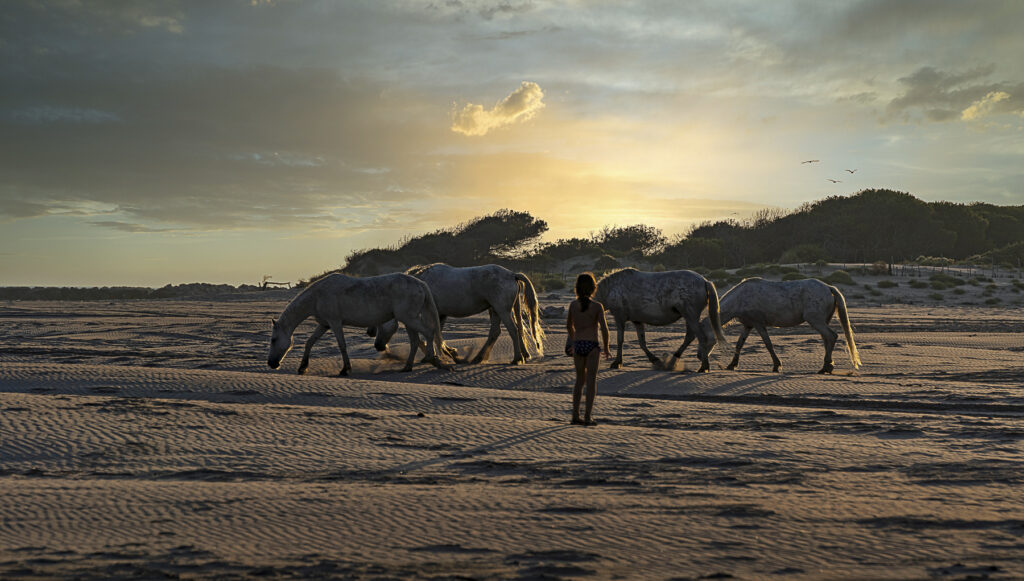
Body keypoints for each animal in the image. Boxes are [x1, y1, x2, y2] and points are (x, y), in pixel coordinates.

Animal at [268, 273, 453, 376]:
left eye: (273, 340)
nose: (271, 364)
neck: (317, 296)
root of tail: (420, 283)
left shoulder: (335, 323)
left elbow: (342, 345)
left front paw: (345, 369)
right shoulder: (324, 324)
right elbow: (309, 342)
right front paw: (302, 367)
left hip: (409, 319)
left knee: (428, 333)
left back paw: (431, 358)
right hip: (408, 320)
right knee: (415, 341)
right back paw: (407, 367)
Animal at [369, 263, 544, 365]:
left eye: (380, 322)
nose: (377, 345)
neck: (421, 286)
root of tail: (512, 274)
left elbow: (430, 335)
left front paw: (444, 354)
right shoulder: (440, 315)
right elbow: (435, 335)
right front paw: (445, 354)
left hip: (501, 310)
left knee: (513, 330)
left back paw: (517, 359)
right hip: (495, 310)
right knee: (499, 332)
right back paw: (479, 358)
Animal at [594, 268, 728, 372]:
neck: (612, 288)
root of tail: (705, 281)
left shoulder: (619, 318)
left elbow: (620, 340)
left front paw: (617, 362)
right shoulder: (637, 321)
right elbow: (642, 342)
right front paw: (655, 360)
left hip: (691, 316)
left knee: (700, 337)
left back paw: (703, 366)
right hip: (689, 317)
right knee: (690, 337)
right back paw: (673, 361)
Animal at [683, 277, 861, 374]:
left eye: (703, 337)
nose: (699, 356)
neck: (741, 297)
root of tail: (829, 288)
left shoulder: (759, 324)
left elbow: (768, 344)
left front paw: (777, 365)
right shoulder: (748, 326)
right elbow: (739, 345)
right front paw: (732, 364)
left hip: (815, 320)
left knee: (832, 336)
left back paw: (826, 367)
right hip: (822, 321)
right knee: (827, 339)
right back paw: (827, 366)